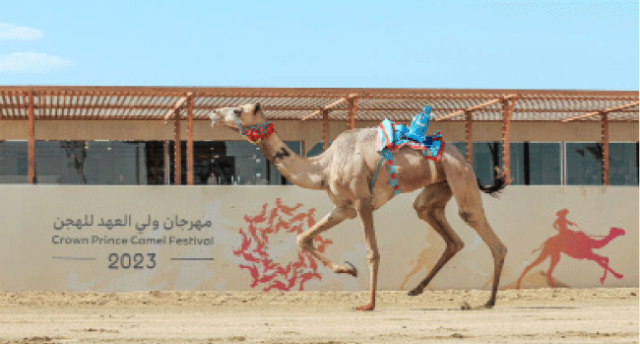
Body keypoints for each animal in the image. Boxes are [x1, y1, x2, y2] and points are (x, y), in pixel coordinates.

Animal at [208, 103, 508, 312]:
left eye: (238, 110)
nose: (213, 113)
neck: (323, 167)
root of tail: (466, 162)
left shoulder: (362, 201)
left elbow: (372, 252)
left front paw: (368, 304)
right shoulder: (345, 208)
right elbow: (303, 237)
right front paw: (348, 269)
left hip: (459, 177)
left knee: (484, 231)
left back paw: (489, 301)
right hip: (439, 187)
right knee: (442, 228)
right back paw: (417, 290)